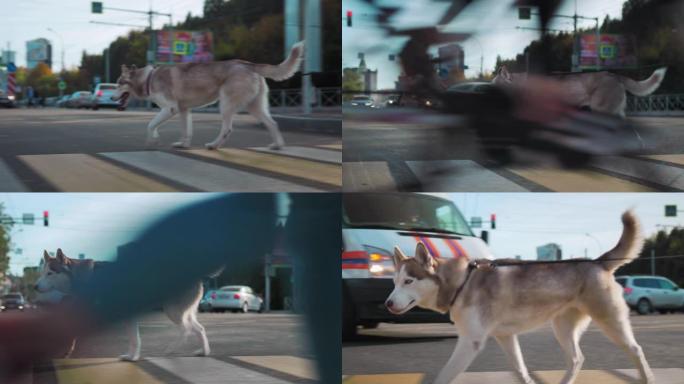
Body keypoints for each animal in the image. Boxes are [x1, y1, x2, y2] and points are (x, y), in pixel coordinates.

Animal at [34, 249, 208, 360]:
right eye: (42, 273)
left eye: (50, 273)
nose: (34, 286)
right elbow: (134, 338)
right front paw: (132, 357)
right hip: (182, 312)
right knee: (199, 329)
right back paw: (204, 352)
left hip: (172, 311)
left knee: (186, 330)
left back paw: (171, 349)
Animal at [112, 41, 304, 150]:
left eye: (119, 83)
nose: (112, 99)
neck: (149, 78)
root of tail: (248, 64)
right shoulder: (183, 111)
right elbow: (186, 131)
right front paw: (183, 145)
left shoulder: (170, 109)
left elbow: (151, 124)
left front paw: (153, 140)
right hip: (255, 107)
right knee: (272, 123)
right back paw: (277, 145)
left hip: (226, 105)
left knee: (227, 129)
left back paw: (214, 145)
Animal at [388, 210, 656, 384]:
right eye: (394, 282)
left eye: (408, 281)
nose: (388, 303)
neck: (462, 283)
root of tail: (597, 262)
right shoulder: (505, 337)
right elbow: (520, 371)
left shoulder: (470, 341)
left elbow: (443, 376)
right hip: (563, 328)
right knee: (577, 359)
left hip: (611, 322)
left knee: (636, 349)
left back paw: (648, 377)